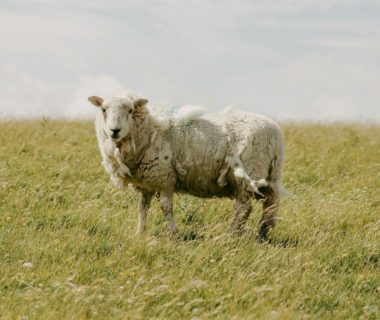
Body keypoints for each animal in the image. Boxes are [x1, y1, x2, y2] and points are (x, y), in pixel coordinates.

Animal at [88, 92, 284, 238]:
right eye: (104, 109)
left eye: (130, 110)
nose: (114, 131)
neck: (148, 129)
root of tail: (276, 133)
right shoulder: (146, 183)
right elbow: (142, 209)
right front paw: (140, 233)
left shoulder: (164, 177)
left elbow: (165, 207)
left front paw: (173, 233)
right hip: (267, 176)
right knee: (269, 205)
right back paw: (262, 232)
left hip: (248, 173)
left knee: (244, 208)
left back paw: (230, 235)